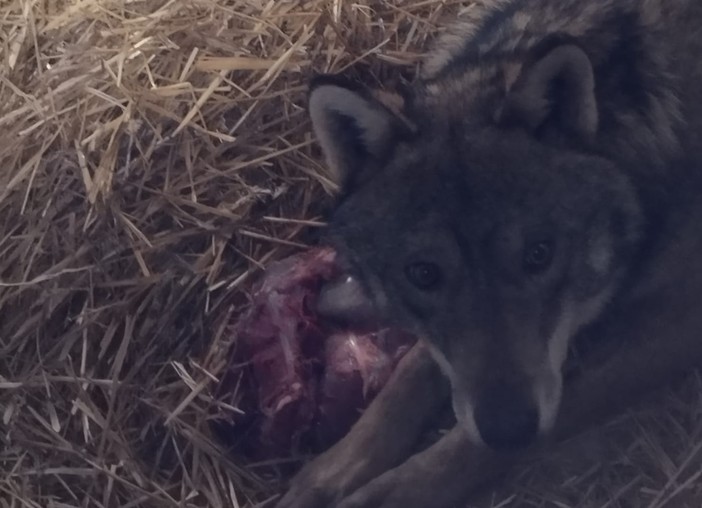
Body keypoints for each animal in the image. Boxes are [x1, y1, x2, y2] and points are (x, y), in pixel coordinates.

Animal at [278, 1, 702, 506]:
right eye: (423, 274)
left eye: (539, 254)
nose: (508, 429)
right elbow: (412, 370)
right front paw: (333, 470)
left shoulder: (677, 323)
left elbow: (468, 446)